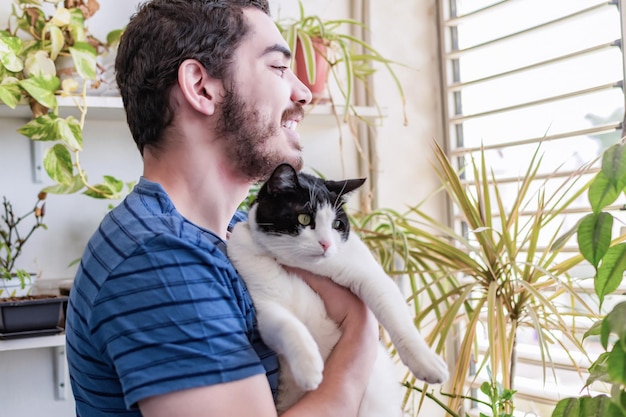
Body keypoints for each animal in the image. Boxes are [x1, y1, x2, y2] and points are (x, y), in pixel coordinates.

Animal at [227, 164, 446, 414]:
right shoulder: (266, 306)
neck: (298, 263)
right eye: (304, 218)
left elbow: (397, 318)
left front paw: (426, 363)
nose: (326, 244)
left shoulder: (370, 275)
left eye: (337, 225)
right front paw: (309, 368)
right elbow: (286, 325)